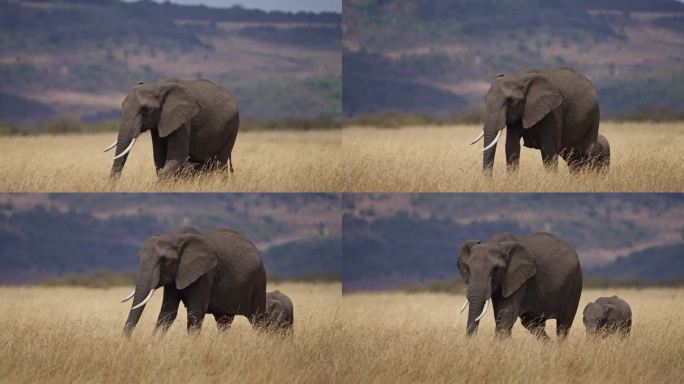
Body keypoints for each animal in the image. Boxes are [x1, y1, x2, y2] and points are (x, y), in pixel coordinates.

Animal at [103, 79, 239, 181]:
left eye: (146, 109)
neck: (158, 86)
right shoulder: (159, 122)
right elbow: (159, 158)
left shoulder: (184, 120)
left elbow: (176, 157)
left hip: (232, 126)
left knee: (220, 163)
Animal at [120, 225, 264, 336]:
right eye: (139, 257)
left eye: (166, 261)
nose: (125, 341)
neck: (175, 237)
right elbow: (168, 312)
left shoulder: (205, 274)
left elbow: (195, 311)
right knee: (223, 321)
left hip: (258, 280)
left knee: (258, 319)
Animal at [468, 68, 608, 176]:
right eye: (485, 99)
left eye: (510, 101)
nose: (489, 181)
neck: (520, 78)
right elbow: (512, 146)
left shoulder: (552, 112)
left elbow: (548, 149)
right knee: (573, 158)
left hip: (594, 114)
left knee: (588, 151)